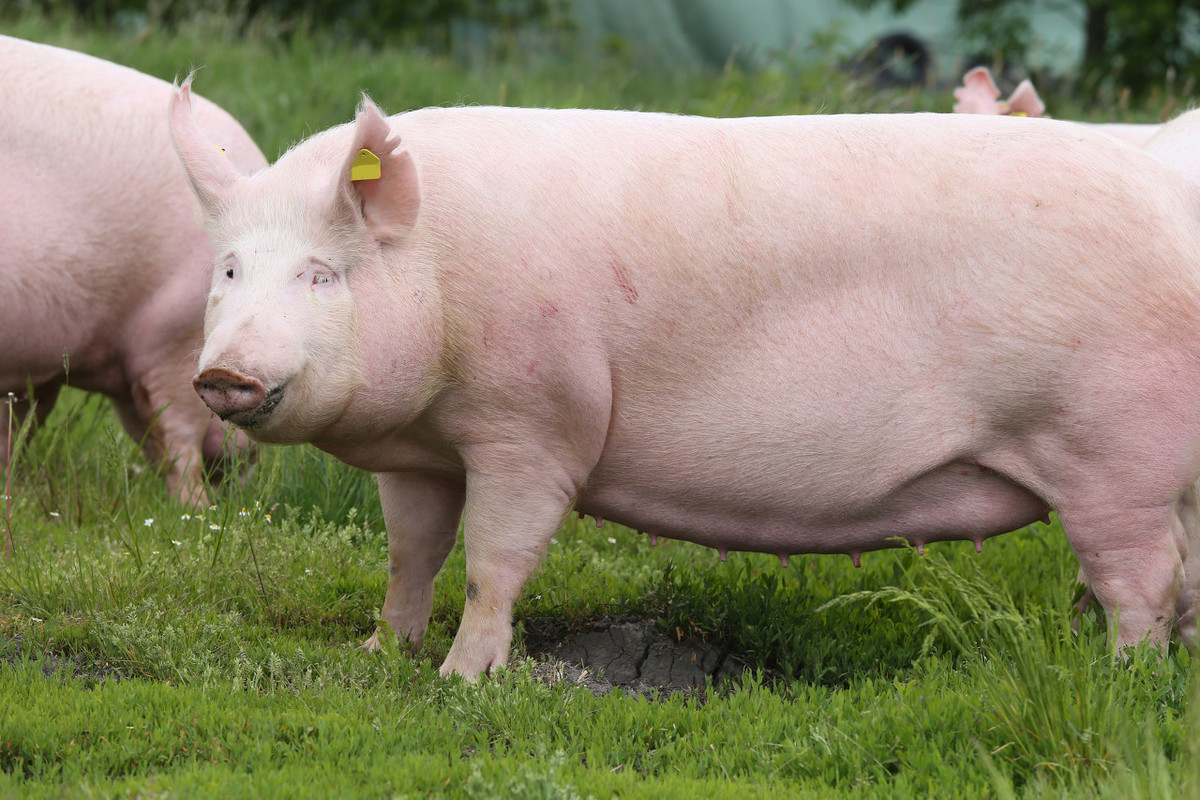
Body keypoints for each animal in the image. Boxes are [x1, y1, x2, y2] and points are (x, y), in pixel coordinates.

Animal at [0, 35, 265, 506]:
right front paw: (195, 512)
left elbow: (20, 422)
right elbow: (179, 434)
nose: (244, 465)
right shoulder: (172, 338)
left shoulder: (38, 363)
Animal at [171, 81, 1200, 681]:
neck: (443, 272)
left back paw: (1123, 679)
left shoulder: (535, 422)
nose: (222, 373)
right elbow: (409, 555)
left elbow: (497, 559)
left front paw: (464, 680)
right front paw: (384, 650)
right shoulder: (421, 452)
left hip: (1111, 452)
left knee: (1141, 577)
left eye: (320, 274)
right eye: (228, 268)